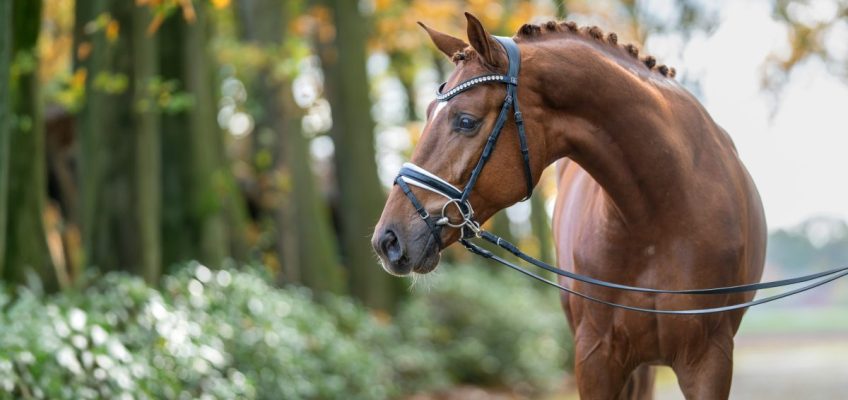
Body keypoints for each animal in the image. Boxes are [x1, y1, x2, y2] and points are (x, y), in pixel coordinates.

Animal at [372, 13, 768, 400]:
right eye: (426, 112)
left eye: (466, 121)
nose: (387, 240)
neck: (660, 216)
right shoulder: (595, 358)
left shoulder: (709, 360)